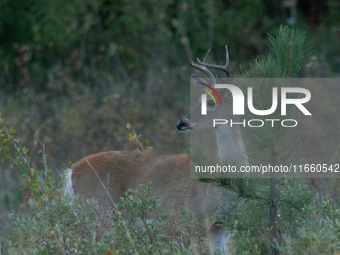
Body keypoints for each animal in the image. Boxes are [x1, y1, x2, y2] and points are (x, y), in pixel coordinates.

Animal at [63, 45, 247, 253]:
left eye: (210, 102)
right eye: (199, 101)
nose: (181, 123)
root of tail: (71, 172)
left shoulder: (222, 226)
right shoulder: (194, 219)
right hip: (102, 214)